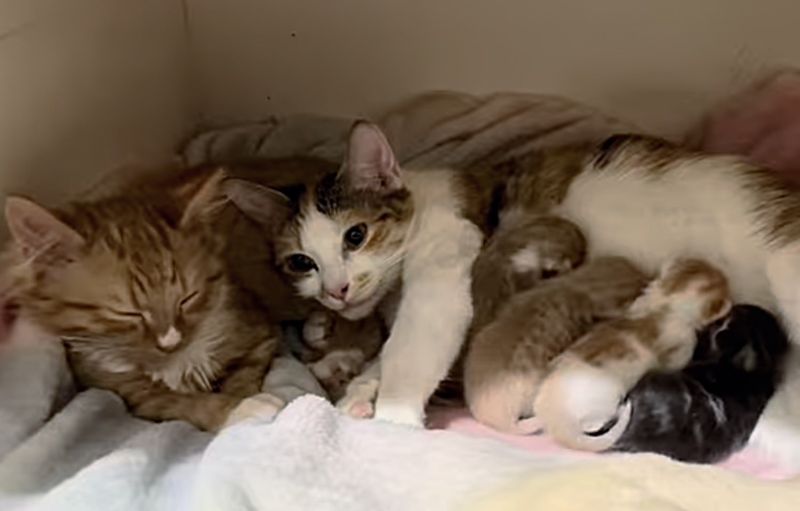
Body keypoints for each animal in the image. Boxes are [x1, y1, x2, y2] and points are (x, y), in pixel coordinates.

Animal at [0, 169, 294, 432]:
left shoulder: (260, 335)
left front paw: (244, 401)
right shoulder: (133, 394)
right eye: (127, 314)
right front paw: (240, 408)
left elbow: (242, 378)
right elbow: (188, 403)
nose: (171, 342)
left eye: (187, 298)